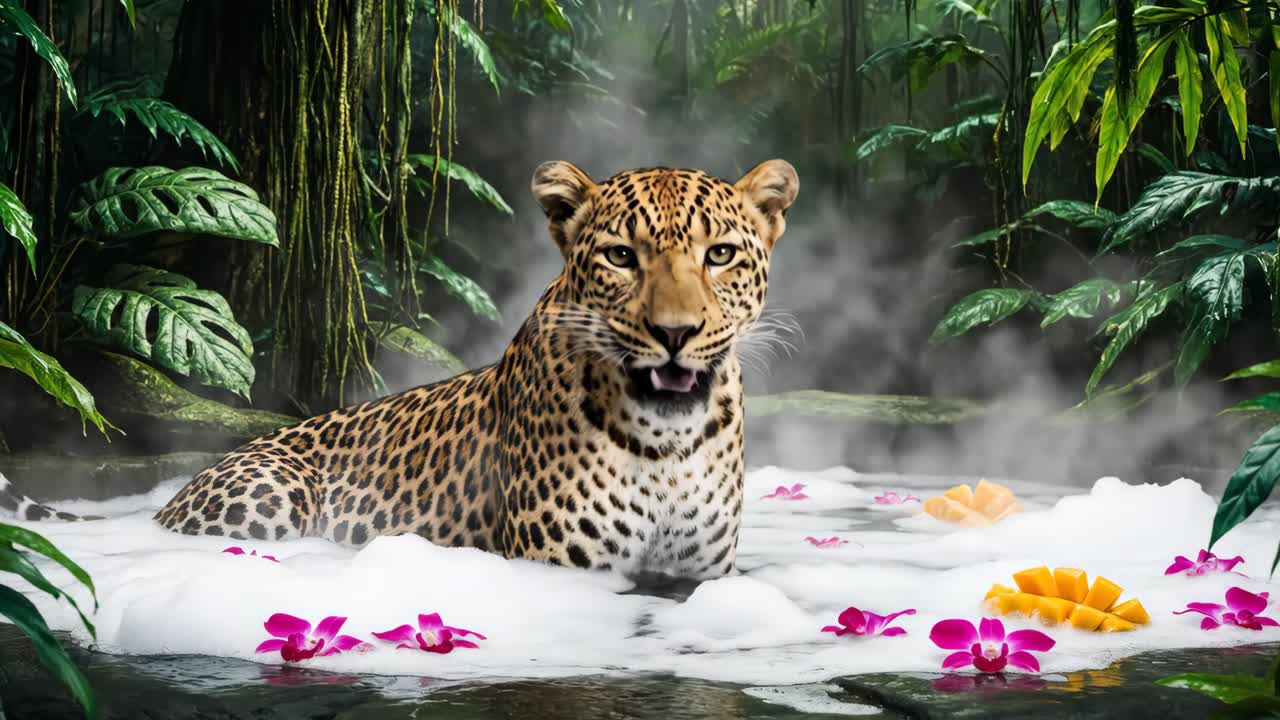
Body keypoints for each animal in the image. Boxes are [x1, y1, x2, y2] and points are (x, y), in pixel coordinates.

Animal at [8, 159, 799, 581]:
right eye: (620, 256)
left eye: (720, 255)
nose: (675, 333)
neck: (668, 447)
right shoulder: (560, 569)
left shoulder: (700, 575)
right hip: (270, 493)